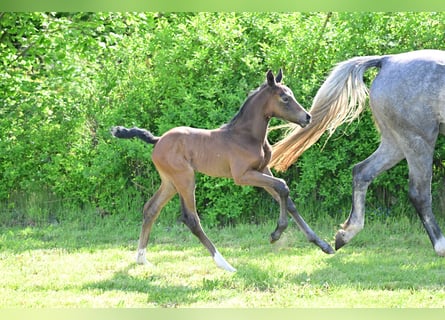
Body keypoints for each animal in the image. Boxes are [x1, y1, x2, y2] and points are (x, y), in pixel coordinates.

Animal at [111, 69, 332, 272]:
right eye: (285, 98)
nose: (307, 117)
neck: (246, 136)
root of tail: (157, 140)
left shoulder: (263, 170)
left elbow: (286, 198)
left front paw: (323, 245)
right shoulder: (243, 176)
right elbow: (283, 186)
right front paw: (276, 234)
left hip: (170, 182)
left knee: (151, 209)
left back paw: (141, 259)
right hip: (185, 178)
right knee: (191, 219)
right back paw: (225, 264)